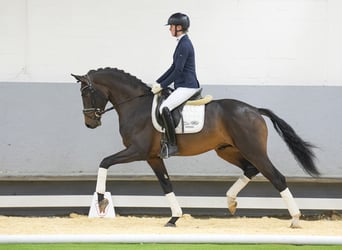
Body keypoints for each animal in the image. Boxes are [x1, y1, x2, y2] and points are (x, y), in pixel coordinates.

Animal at [71, 67, 320, 228]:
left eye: (86, 93)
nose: (90, 123)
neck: (136, 105)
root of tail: (255, 110)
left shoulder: (138, 151)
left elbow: (104, 162)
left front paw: (101, 200)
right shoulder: (153, 157)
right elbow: (166, 184)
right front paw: (174, 217)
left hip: (253, 150)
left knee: (276, 177)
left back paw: (295, 218)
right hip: (227, 150)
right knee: (250, 170)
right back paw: (230, 201)